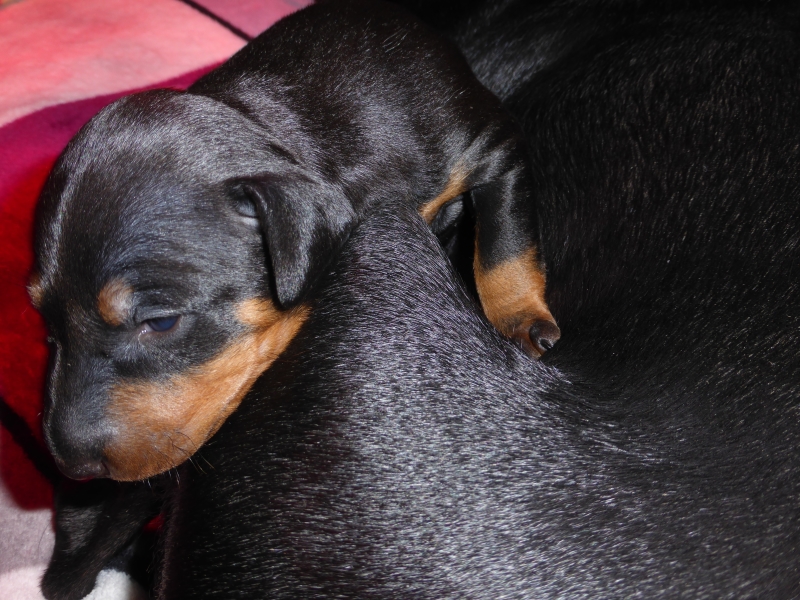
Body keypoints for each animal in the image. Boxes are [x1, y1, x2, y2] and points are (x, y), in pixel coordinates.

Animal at [29, 0, 560, 485]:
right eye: (47, 325)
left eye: (160, 322)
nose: (72, 469)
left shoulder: (493, 147)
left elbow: (504, 243)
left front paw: (519, 322)